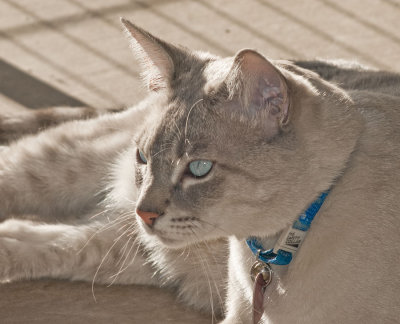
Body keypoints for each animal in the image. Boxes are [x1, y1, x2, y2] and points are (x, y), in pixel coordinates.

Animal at [0, 19, 400, 322]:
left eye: (199, 168)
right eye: (143, 157)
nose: (145, 213)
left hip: (134, 252)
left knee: (42, 237)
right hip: (68, 168)